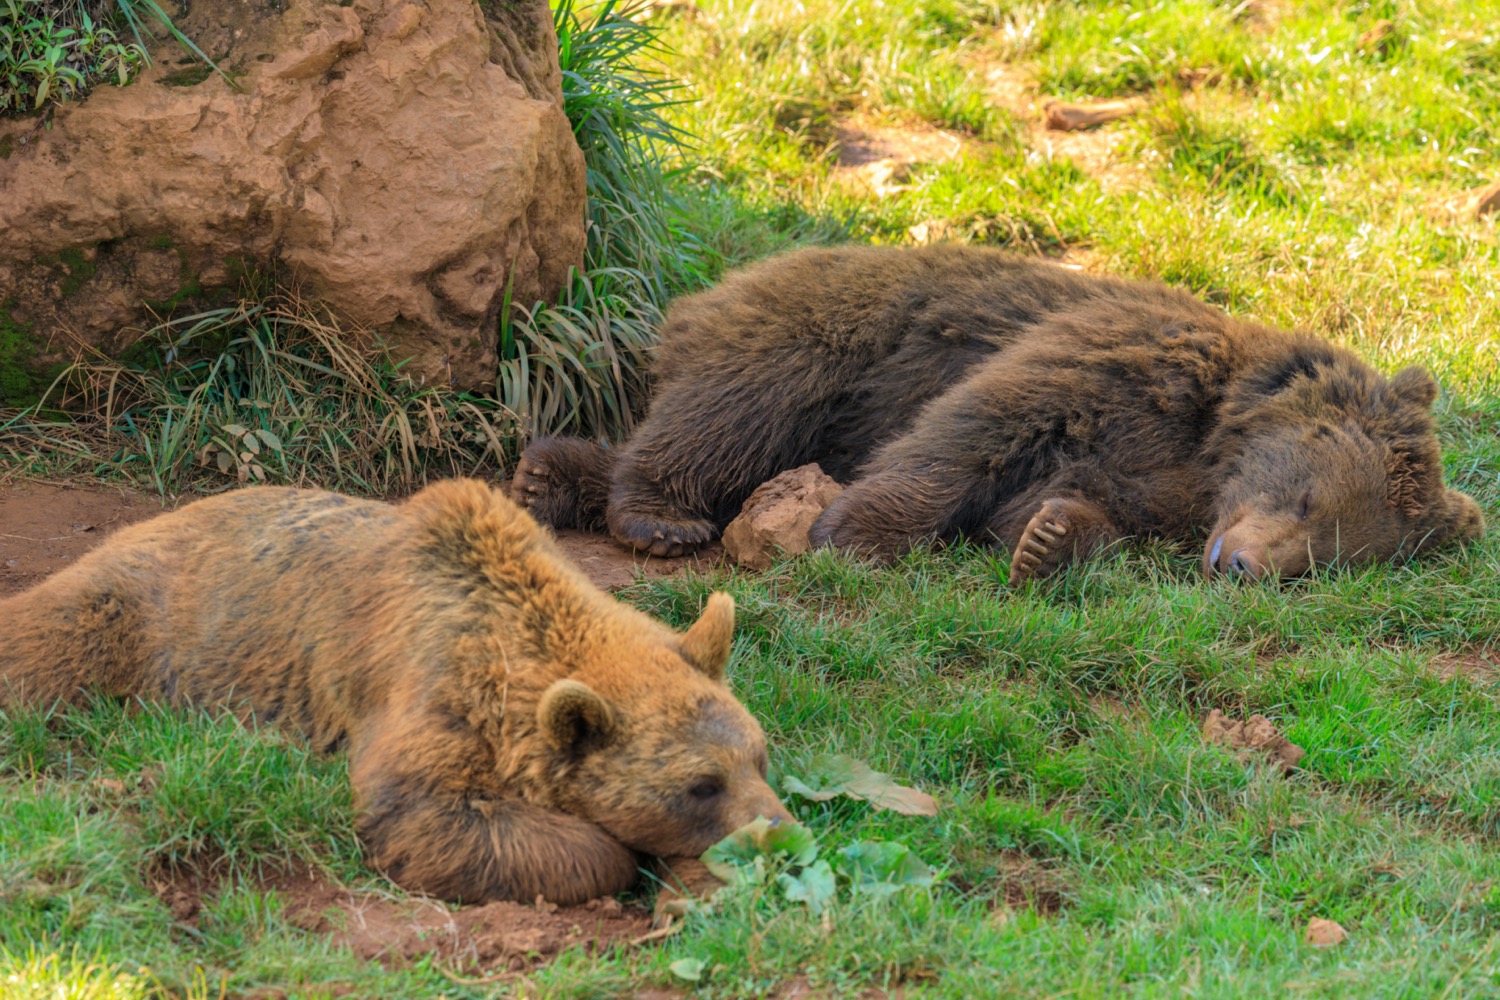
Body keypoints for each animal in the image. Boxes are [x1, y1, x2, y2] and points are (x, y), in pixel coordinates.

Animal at [0, 479, 792, 905]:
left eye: (759, 757)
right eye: (700, 784)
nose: (782, 831)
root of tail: (143, 521)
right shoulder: (431, 685)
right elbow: (417, 810)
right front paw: (616, 855)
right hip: (141, 614)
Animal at [519, 242, 1488, 581]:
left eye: (1327, 559)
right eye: (1307, 501)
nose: (1242, 565)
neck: (1213, 444)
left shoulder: (1158, 489)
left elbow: (1063, 508)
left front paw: (1049, 538)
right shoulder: (1122, 362)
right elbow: (976, 425)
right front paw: (856, 532)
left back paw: (548, 476)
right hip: (827, 328)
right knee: (733, 408)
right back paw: (657, 517)